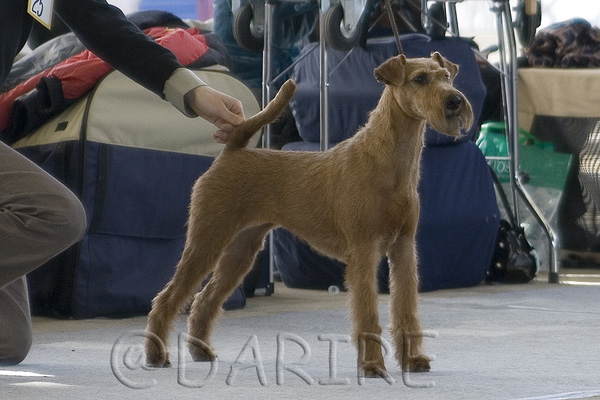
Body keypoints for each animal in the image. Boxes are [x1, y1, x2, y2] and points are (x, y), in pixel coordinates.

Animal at [145, 51, 474, 376]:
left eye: (447, 77)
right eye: (419, 79)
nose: (454, 100)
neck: (391, 161)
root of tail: (233, 151)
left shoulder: (404, 249)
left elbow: (406, 307)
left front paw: (413, 359)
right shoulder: (363, 251)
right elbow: (367, 312)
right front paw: (372, 365)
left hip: (241, 249)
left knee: (205, 299)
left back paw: (201, 351)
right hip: (207, 240)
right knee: (168, 298)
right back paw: (156, 355)